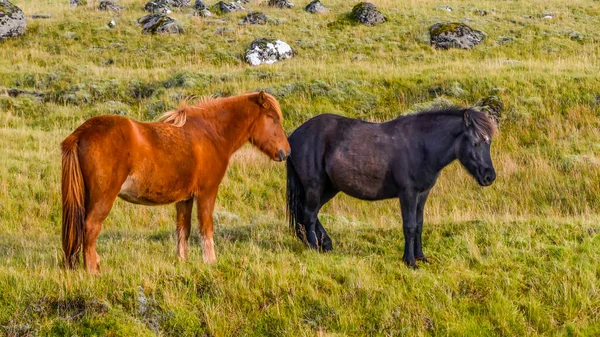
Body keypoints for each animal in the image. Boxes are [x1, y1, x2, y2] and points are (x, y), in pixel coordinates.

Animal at [62, 90, 292, 272]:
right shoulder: (207, 192)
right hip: (102, 198)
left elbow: (183, 229)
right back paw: (93, 271)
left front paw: (182, 260)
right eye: (273, 118)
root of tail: (83, 132)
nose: (286, 151)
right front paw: (210, 261)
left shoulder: (185, 199)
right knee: (90, 228)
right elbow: (206, 228)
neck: (211, 133)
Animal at [286, 106, 496, 266]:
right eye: (476, 142)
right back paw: (314, 247)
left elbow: (419, 224)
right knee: (310, 214)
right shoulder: (408, 194)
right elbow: (409, 226)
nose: (489, 176)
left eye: (489, 143)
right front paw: (410, 261)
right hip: (315, 186)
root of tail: (293, 137)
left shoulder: (422, 194)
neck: (421, 146)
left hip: (329, 188)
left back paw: (326, 244)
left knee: (310, 213)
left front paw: (421, 257)